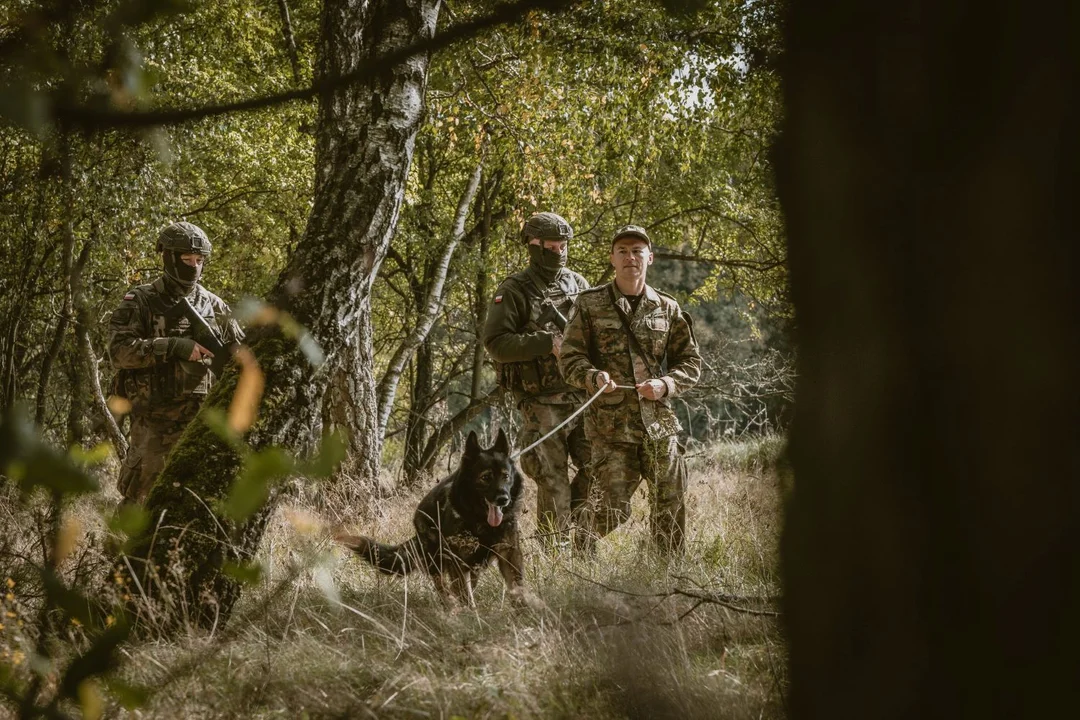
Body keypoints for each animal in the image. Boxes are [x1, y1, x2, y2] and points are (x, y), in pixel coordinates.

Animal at [332, 427, 527, 608]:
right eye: (486, 477)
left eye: (506, 476)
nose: (503, 499)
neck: (480, 520)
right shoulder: (457, 561)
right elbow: (464, 593)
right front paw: (471, 615)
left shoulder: (509, 555)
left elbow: (517, 587)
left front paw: (524, 612)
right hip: (437, 558)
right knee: (442, 586)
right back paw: (450, 606)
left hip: (472, 565)